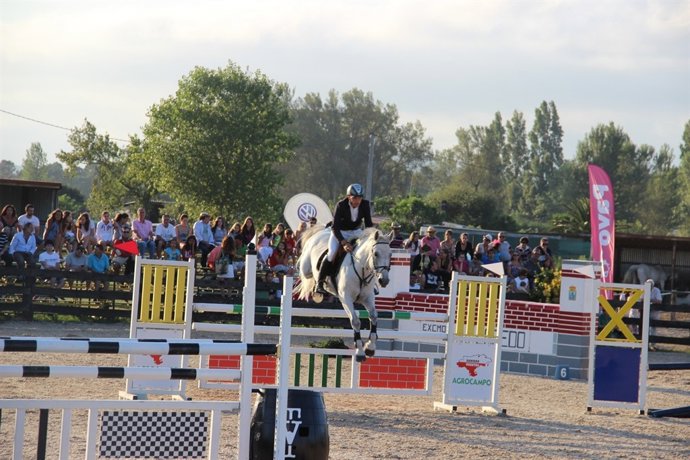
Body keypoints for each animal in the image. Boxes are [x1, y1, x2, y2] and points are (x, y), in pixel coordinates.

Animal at [296, 225, 392, 362]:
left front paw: (370, 347)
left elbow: (373, 316)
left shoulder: (368, 298)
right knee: (308, 272)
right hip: (306, 268)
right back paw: (318, 287)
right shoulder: (346, 299)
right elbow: (355, 321)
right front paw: (360, 351)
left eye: (390, 254)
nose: (384, 281)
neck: (361, 269)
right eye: (376, 253)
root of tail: (321, 230)